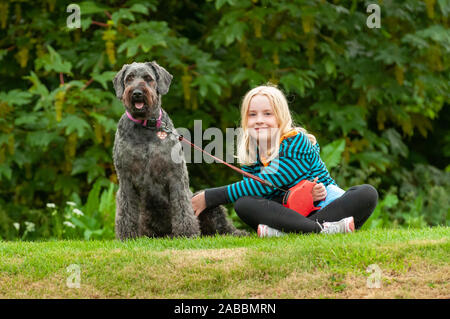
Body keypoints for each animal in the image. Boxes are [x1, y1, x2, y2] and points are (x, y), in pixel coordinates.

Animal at [112, 61, 246, 240]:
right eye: (129, 78)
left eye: (148, 78)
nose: (137, 93)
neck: (146, 126)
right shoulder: (126, 179)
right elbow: (126, 210)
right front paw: (127, 236)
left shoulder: (175, 176)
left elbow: (181, 206)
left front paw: (186, 233)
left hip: (206, 202)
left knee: (222, 226)